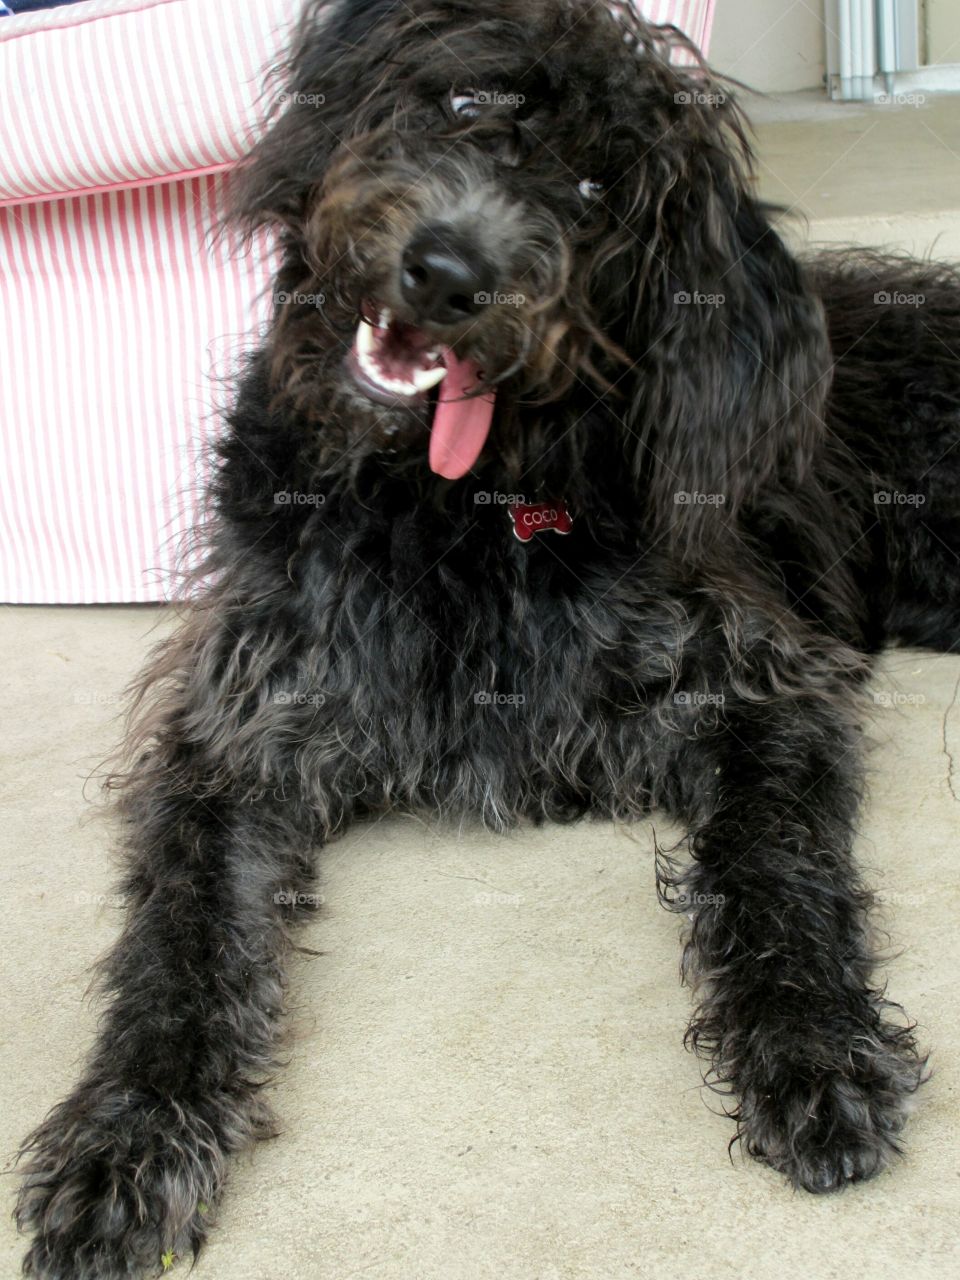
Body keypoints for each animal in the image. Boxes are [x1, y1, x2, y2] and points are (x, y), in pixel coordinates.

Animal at [15, 0, 960, 1274]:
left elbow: (778, 865)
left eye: (601, 184)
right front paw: (126, 1133)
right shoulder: (238, 731)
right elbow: (182, 934)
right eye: (468, 97)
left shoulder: (762, 688)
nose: (450, 271)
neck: (451, 508)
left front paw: (812, 1043)